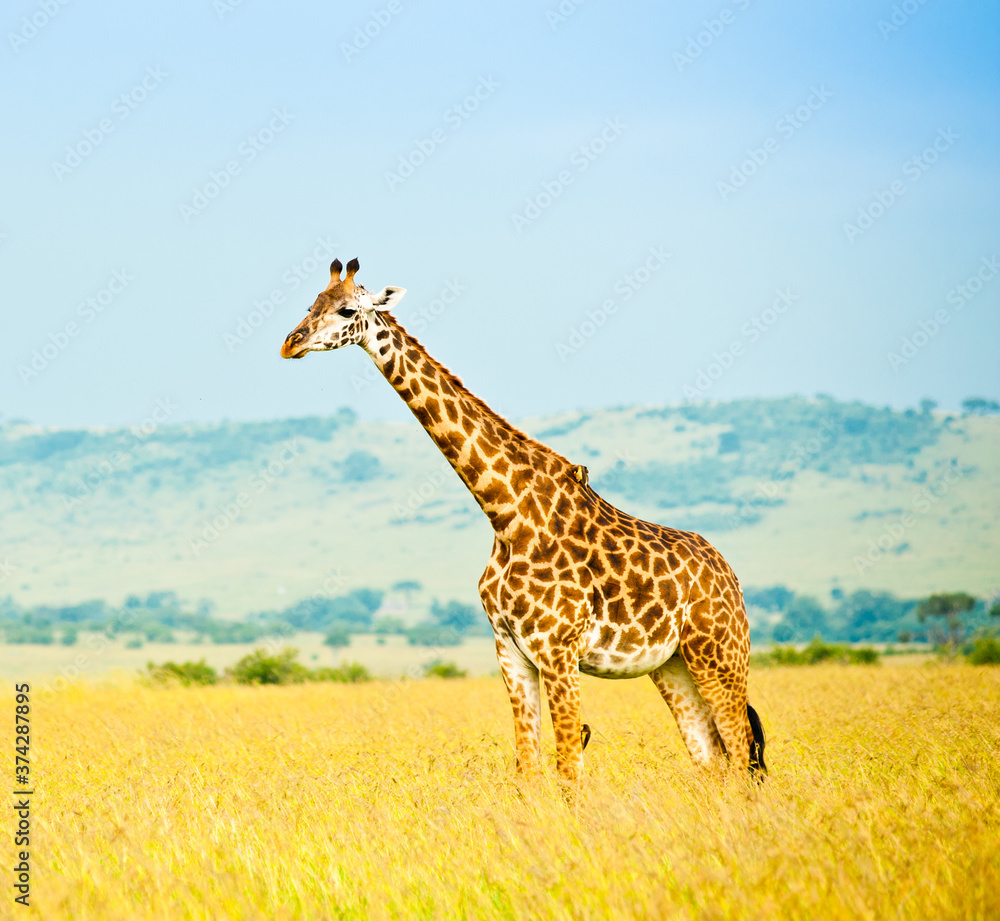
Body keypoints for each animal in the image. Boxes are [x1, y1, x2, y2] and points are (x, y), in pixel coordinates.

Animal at [280, 258, 766, 783]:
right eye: (310, 304)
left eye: (348, 310)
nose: (291, 342)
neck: (504, 513)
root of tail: (729, 575)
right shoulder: (510, 651)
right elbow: (527, 766)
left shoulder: (558, 650)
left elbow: (568, 766)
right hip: (673, 664)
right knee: (712, 759)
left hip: (720, 654)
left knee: (742, 753)